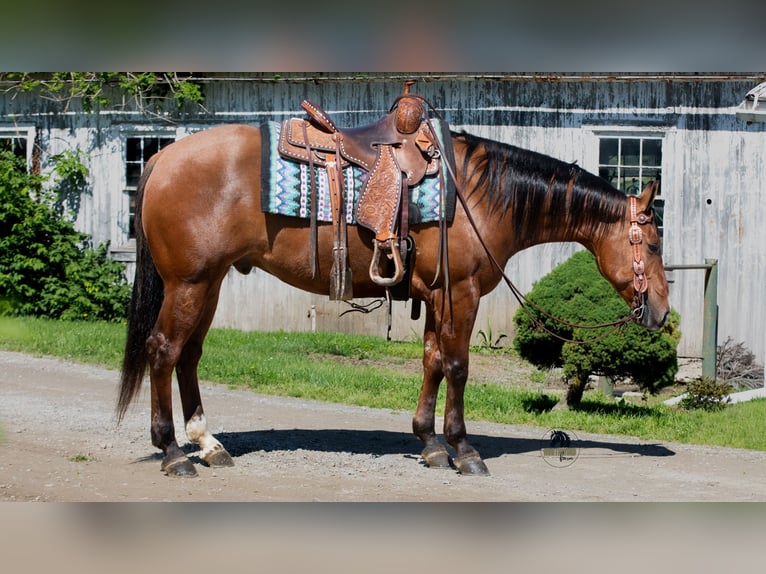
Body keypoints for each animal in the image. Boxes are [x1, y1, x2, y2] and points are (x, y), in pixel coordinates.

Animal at [117, 122, 670, 478]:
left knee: (188, 357)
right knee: (164, 351)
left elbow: (432, 362)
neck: (478, 195)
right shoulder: (461, 292)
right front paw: (463, 450)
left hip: (207, 283)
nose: (662, 313)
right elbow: (458, 366)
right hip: (188, 283)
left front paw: (429, 443)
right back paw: (173, 452)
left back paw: (209, 445)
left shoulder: (436, 295)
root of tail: (163, 157)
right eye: (653, 243)